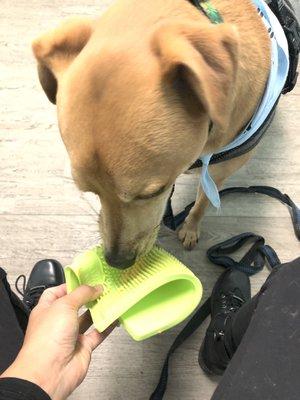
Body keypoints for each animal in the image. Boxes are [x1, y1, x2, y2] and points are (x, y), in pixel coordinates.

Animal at [31, 0, 270, 268]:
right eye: (90, 192)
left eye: (152, 193)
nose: (117, 261)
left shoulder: (218, 173)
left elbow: (202, 202)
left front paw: (190, 228)